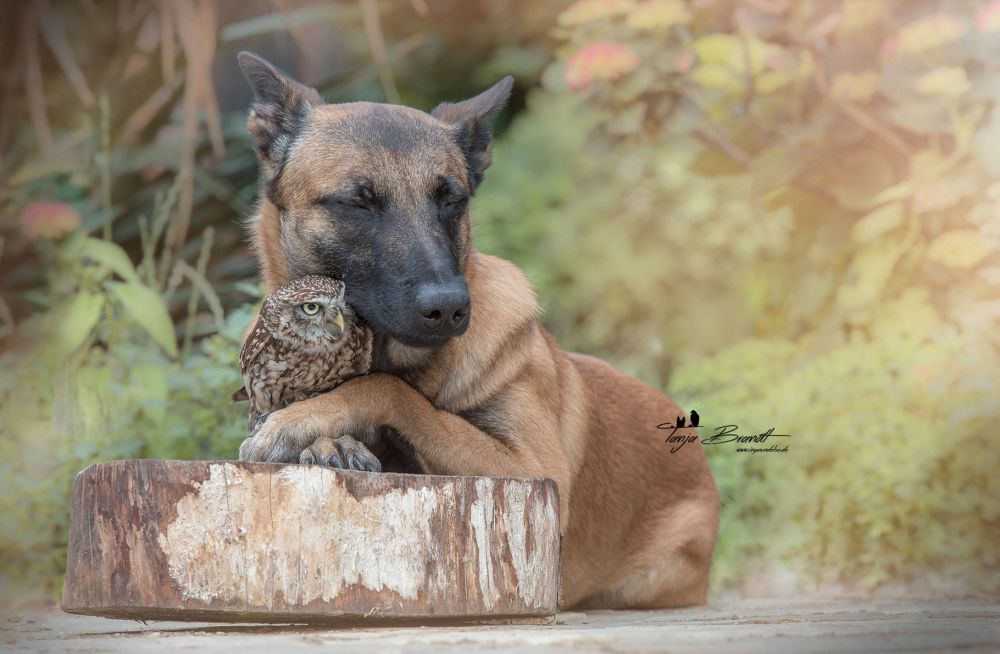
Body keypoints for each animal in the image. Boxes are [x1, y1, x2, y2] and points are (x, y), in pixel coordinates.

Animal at [234, 53, 720, 612]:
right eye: (357, 202)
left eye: (451, 200)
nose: (448, 307)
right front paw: (327, 441)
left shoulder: (534, 470)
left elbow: (392, 392)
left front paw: (303, 422)